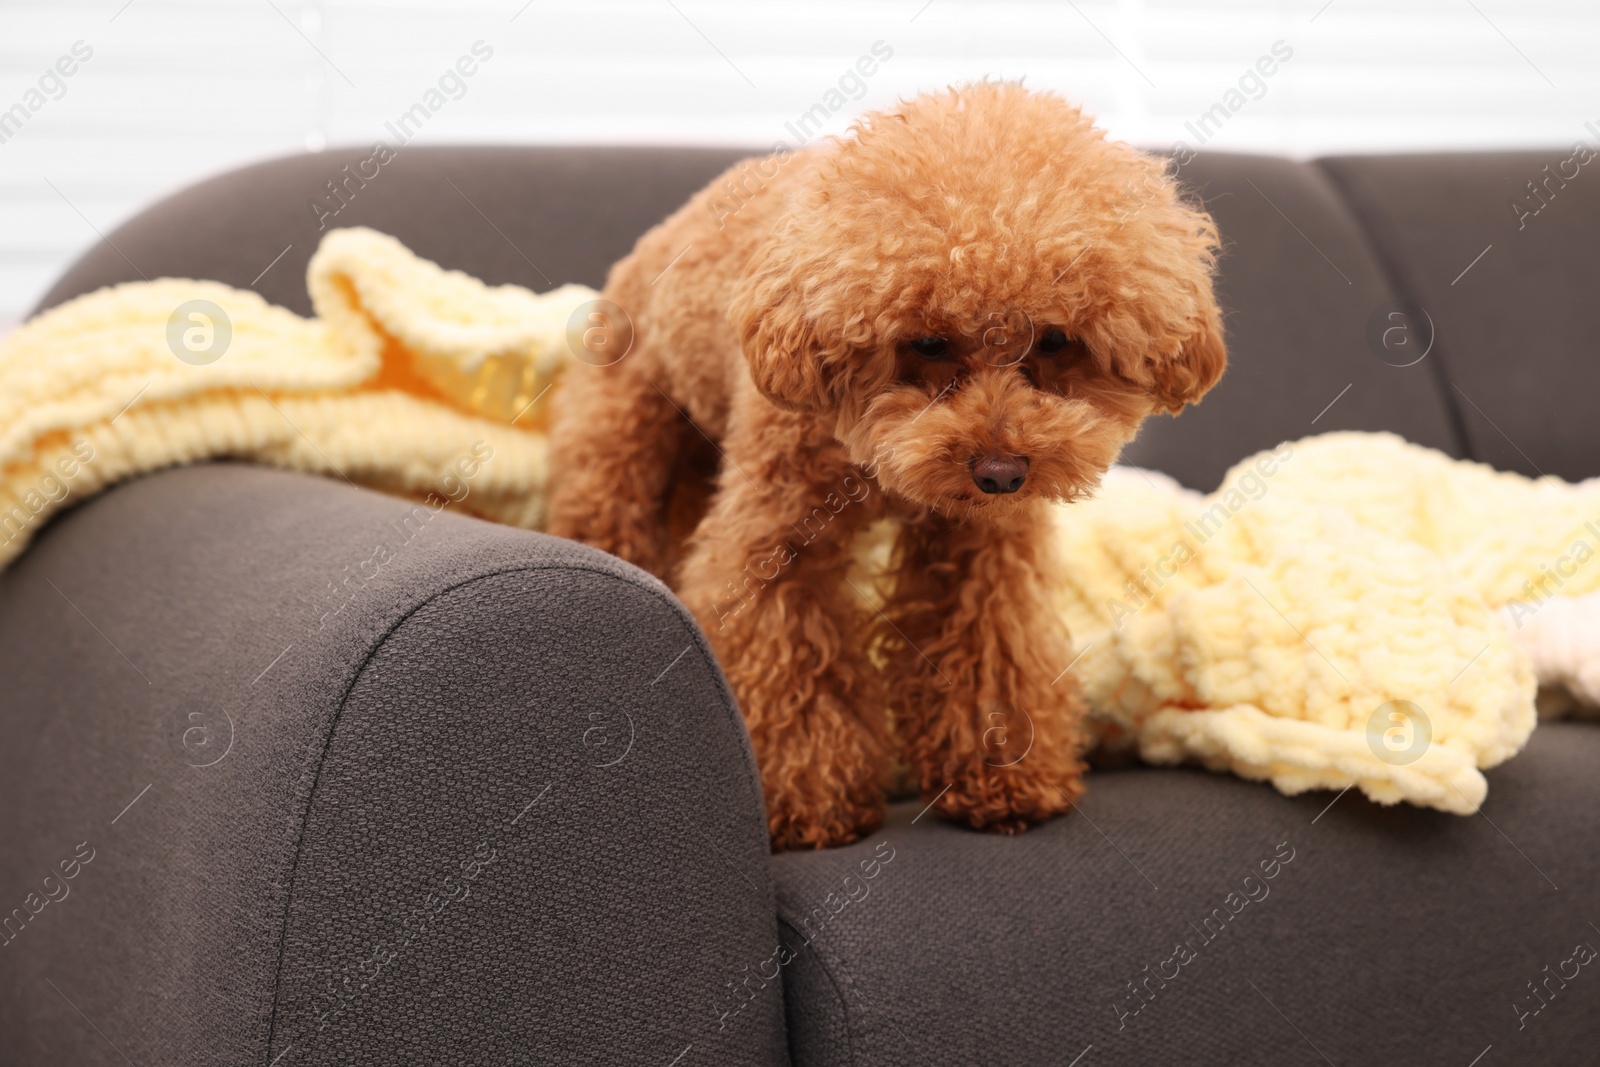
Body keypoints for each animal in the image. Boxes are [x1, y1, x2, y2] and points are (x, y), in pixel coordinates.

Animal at [550, 83, 1222, 851]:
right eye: (928, 342)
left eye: (1054, 339)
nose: (1001, 473)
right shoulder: (775, 536)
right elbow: (788, 660)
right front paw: (809, 800)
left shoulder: (978, 548)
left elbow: (989, 648)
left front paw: (1006, 778)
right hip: (622, 433)